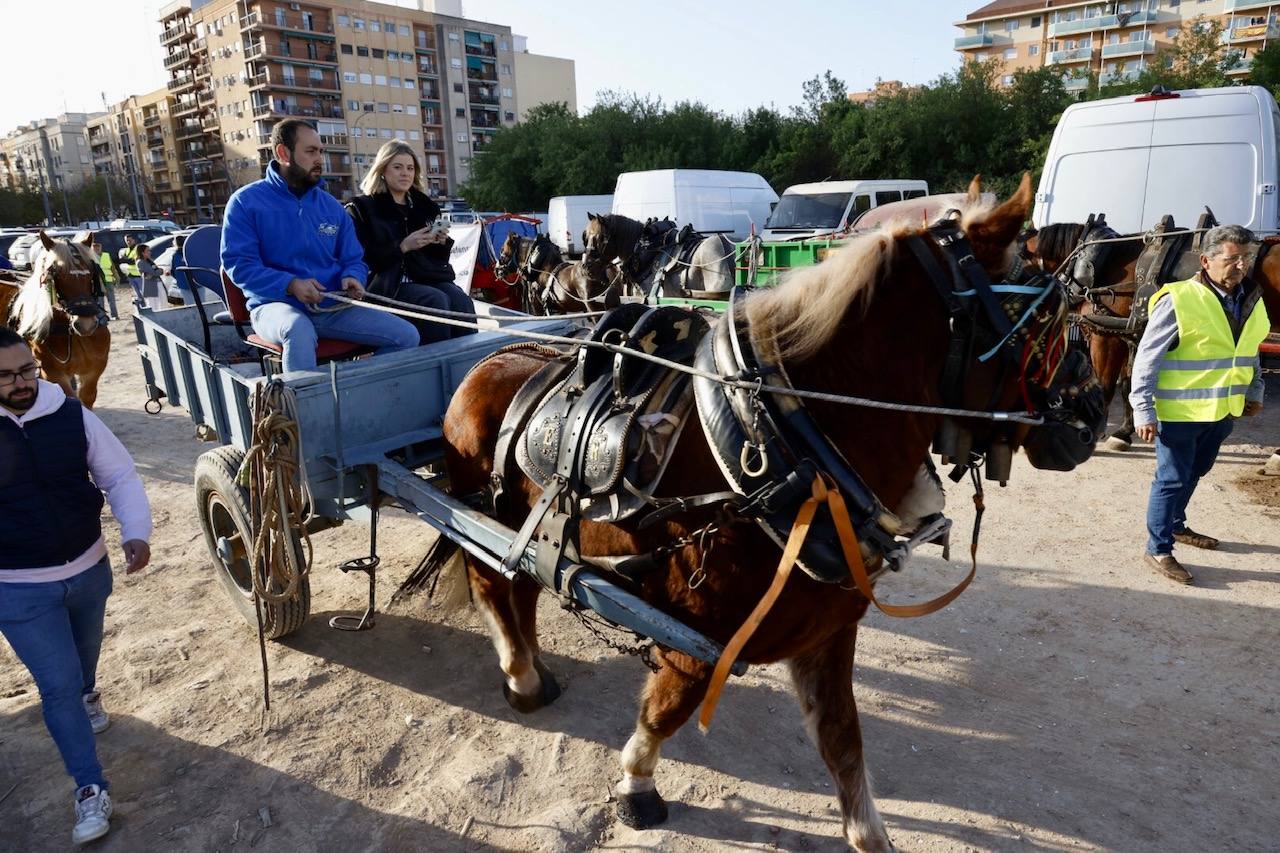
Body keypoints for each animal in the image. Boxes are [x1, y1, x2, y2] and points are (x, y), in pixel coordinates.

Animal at [3, 230, 111, 407]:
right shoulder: (53, 372)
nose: (86, 324)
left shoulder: (94, 369)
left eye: (90, 271)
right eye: (57, 274)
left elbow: (87, 397)